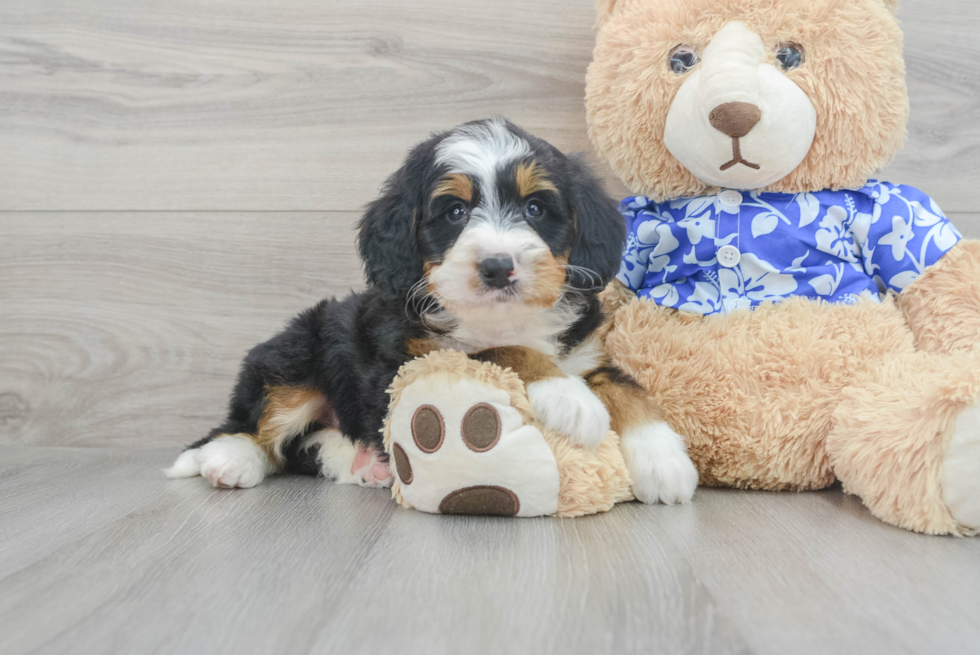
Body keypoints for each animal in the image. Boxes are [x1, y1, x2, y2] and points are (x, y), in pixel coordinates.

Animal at [168, 119, 700, 508]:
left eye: (535, 208)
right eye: (455, 213)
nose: (497, 266)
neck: (502, 314)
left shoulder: (584, 350)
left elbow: (627, 387)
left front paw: (663, 459)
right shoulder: (408, 361)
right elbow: (498, 350)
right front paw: (570, 399)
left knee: (307, 445)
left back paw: (363, 464)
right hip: (296, 352)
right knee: (257, 424)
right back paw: (229, 459)